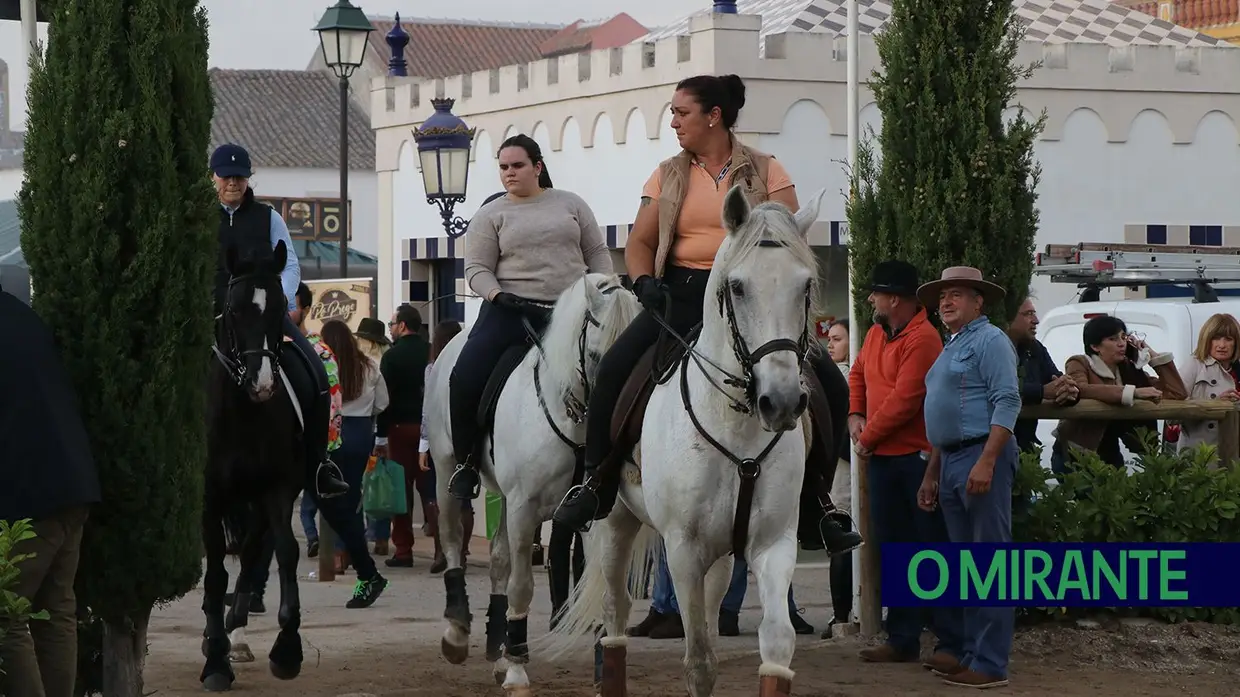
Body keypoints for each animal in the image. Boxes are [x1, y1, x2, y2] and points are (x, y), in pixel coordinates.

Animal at [424, 274, 639, 689]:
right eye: (597, 356)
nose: (615, 428)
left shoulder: (587, 512)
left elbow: (596, 581)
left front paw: (605, 663)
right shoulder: (524, 509)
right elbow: (522, 586)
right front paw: (518, 667)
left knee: (497, 559)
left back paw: (497, 646)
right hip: (445, 470)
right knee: (453, 536)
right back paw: (457, 631)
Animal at [545, 184, 828, 694]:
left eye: (805, 287)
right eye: (738, 287)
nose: (780, 402)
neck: (736, 427)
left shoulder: (772, 544)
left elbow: (777, 645)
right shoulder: (683, 550)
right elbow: (699, 660)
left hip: (720, 555)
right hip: (614, 524)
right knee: (614, 621)